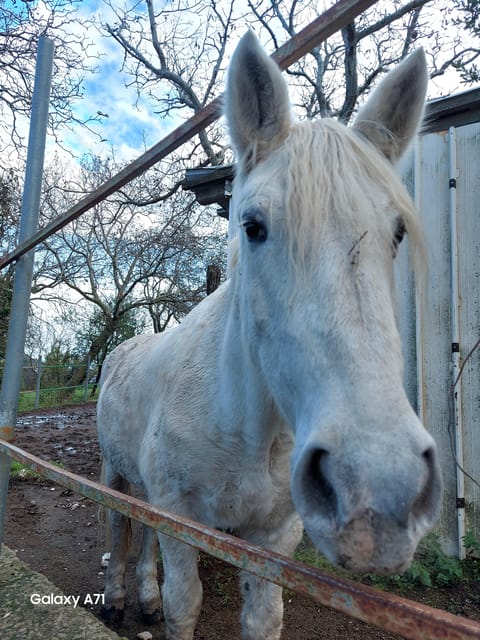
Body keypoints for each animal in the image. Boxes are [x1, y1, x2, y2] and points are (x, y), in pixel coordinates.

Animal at [97, 30, 442, 640]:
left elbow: (262, 617)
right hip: (113, 473)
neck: (243, 427)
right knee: (119, 526)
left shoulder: (274, 537)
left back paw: (143, 598)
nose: (378, 493)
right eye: (252, 226)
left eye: (398, 232)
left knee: (143, 540)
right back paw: (116, 599)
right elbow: (184, 602)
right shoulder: (180, 514)